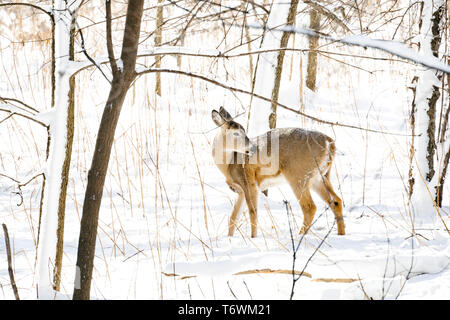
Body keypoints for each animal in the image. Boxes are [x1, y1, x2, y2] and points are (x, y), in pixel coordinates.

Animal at [211, 107, 344, 238]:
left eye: (244, 130)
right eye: (236, 132)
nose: (253, 148)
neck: (229, 164)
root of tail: (329, 143)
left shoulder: (249, 182)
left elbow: (252, 213)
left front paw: (253, 237)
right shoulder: (241, 191)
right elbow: (233, 217)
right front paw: (230, 238)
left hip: (298, 174)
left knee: (309, 207)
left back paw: (300, 235)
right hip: (319, 177)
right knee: (336, 201)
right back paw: (341, 234)